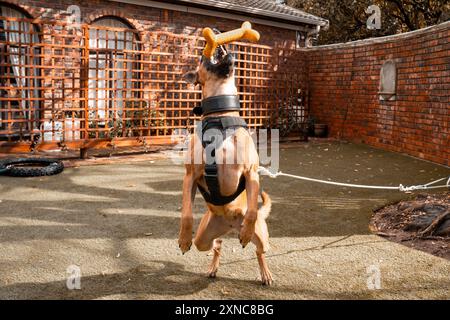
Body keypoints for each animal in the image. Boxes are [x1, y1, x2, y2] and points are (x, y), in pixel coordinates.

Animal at [180, 47, 274, 284]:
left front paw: (246, 232)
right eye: (201, 57)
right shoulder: (190, 176)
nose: (223, 46)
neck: (220, 117)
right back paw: (213, 264)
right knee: (216, 245)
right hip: (203, 238)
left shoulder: (251, 174)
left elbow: (251, 211)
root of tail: (229, 225)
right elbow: (186, 213)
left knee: (259, 250)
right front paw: (183, 238)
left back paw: (264, 270)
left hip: (262, 236)